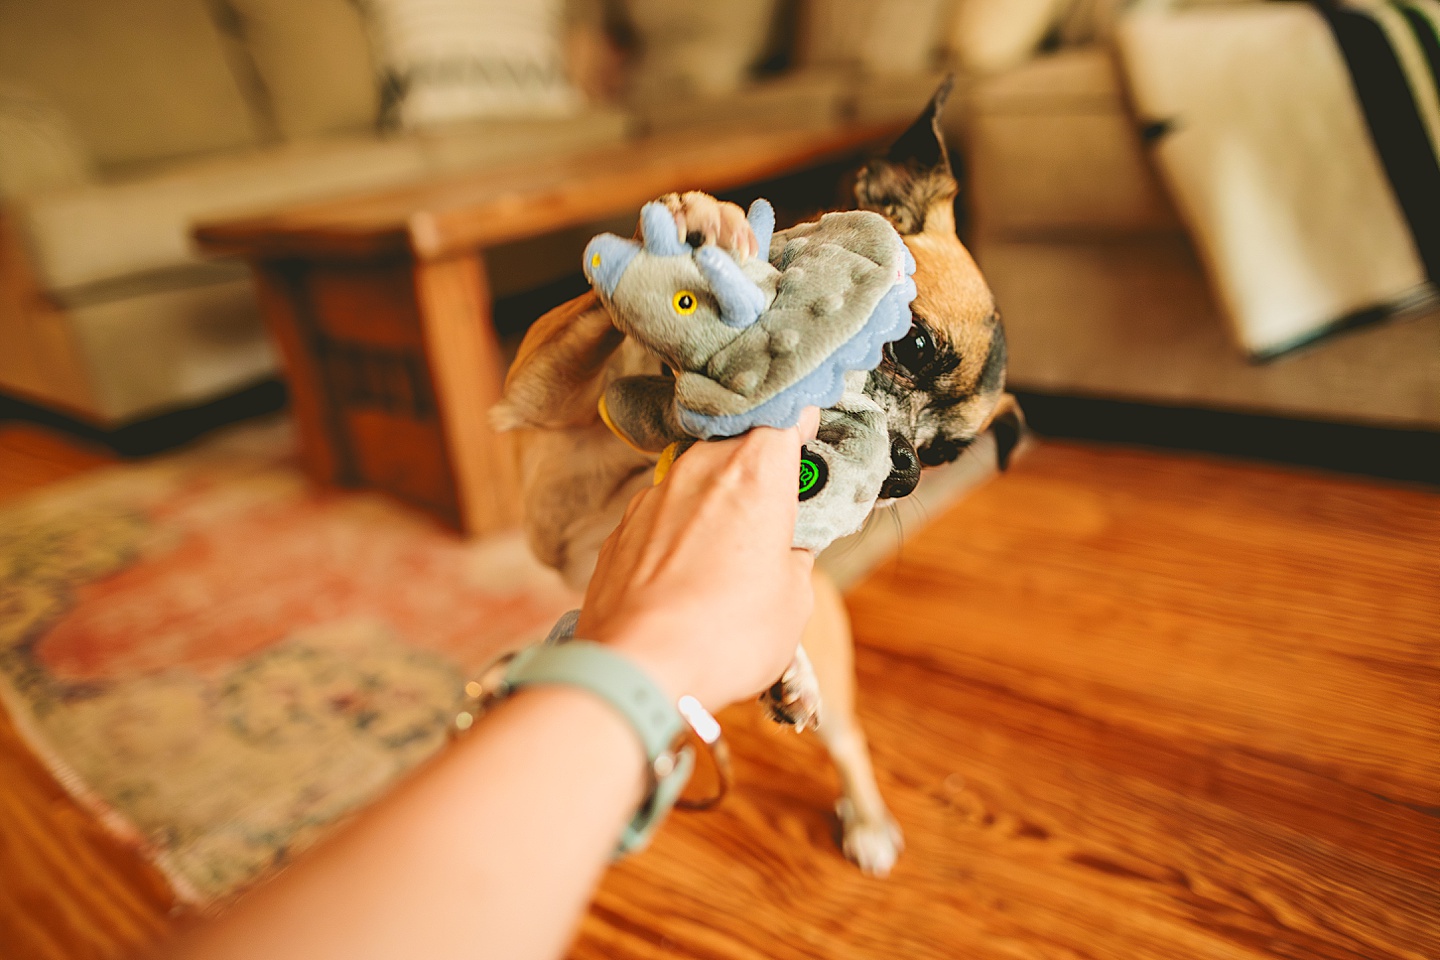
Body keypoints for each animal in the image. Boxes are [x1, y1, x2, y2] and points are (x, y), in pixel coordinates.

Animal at [489, 84, 1019, 880]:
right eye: (916, 343)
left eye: (950, 458)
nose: (904, 469)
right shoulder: (533, 390)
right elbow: (591, 322)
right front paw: (698, 229)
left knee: (846, 740)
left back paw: (863, 813)